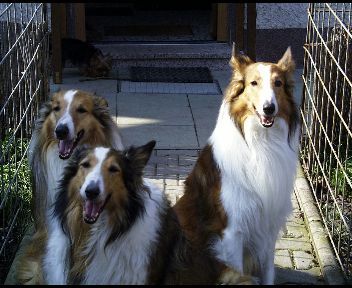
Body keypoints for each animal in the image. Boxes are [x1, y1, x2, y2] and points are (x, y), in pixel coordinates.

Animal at [173, 46, 300, 284]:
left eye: (278, 83)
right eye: (254, 83)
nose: (269, 109)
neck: (261, 142)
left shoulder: (269, 225)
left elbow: (268, 272)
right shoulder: (232, 232)